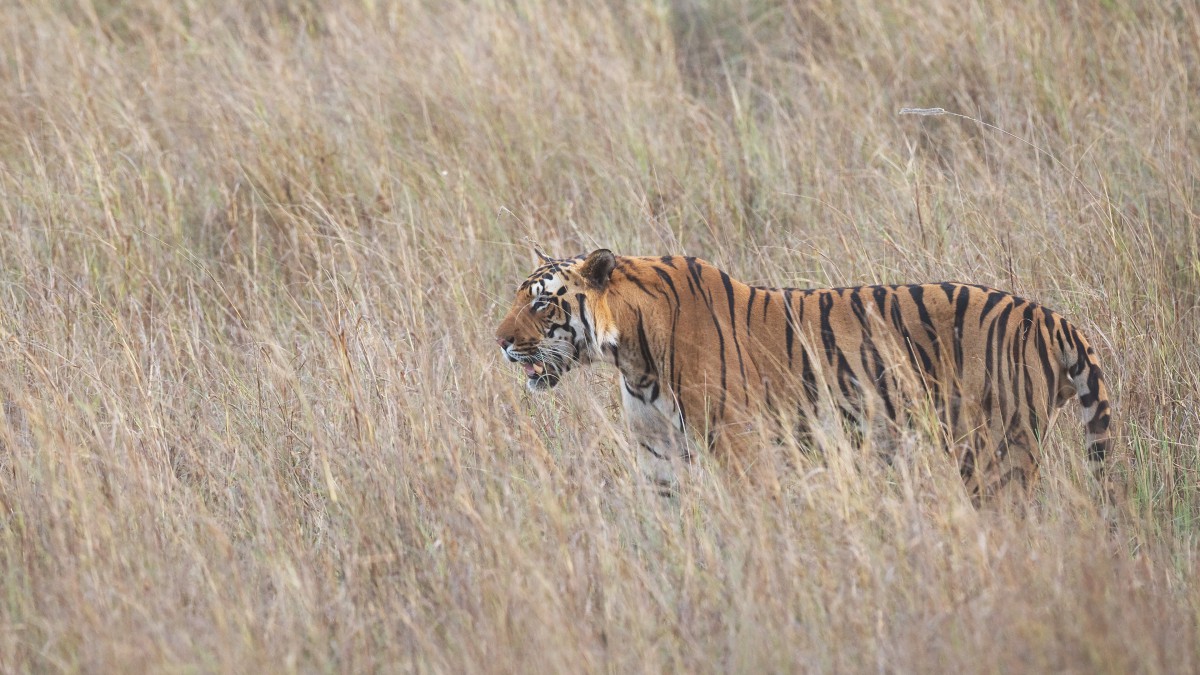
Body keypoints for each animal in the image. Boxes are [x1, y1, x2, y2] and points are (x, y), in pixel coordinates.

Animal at [492, 247, 1108, 499]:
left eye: (541, 303)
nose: (498, 342)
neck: (633, 358)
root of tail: (1052, 318)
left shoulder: (741, 446)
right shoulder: (657, 452)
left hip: (996, 451)